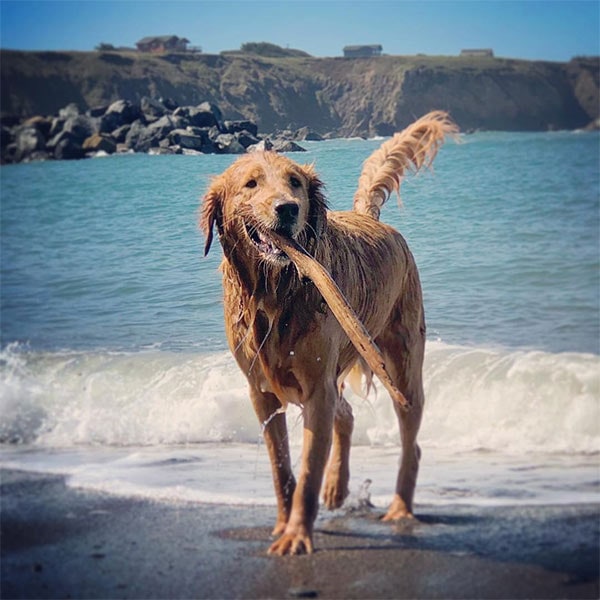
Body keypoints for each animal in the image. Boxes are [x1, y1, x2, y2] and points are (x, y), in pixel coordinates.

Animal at [200, 111, 454, 552]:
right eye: (251, 183)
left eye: (295, 182)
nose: (287, 209)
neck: (277, 292)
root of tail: (369, 217)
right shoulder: (261, 392)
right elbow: (281, 468)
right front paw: (284, 523)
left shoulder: (316, 387)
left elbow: (307, 472)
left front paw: (297, 535)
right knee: (347, 415)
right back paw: (338, 486)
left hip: (403, 363)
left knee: (411, 439)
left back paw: (400, 508)